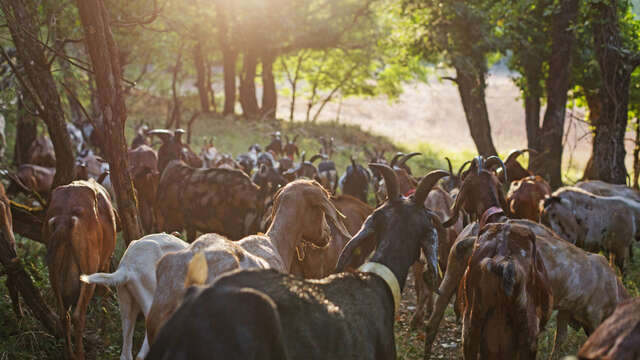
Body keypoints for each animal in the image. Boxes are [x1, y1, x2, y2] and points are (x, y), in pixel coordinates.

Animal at [42, 180, 117, 360]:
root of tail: (64, 219)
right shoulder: (105, 261)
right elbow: (104, 293)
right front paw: (104, 333)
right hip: (89, 268)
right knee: (78, 315)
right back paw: (81, 353)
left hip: (53, 271)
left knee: (64, 315)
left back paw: (69, 354)